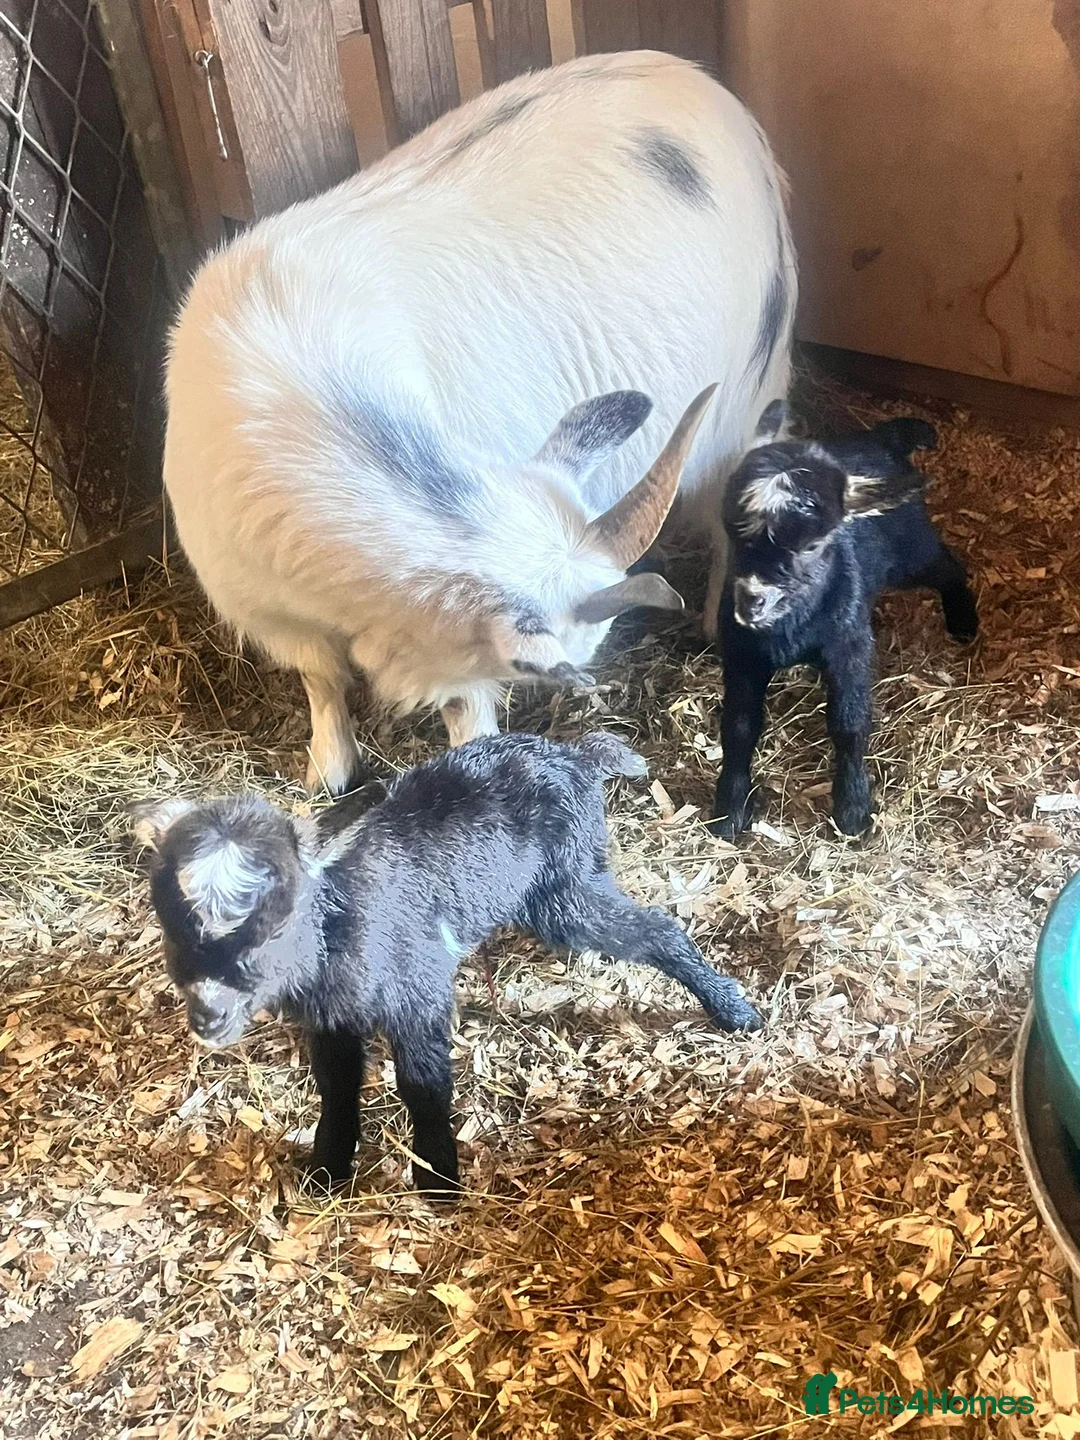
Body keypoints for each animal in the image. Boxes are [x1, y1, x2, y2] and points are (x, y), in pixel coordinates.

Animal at [131, 733, 762, 1196]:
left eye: (275, 922)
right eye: (171, 923)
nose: (207, 1017)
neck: (341, 926)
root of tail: (579, 755)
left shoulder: (419, 989)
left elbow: (421, 1082)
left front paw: (438, 1181)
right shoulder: (332, 1018)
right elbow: (336, 1087)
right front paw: (327, 1173)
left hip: (564, 887)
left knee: (655, 929)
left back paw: (734, 1008)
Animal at [163, 51, 795, 792]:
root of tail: (700, 79)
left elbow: (461, 703)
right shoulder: (272, 611)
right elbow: (321, 681)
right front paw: (327, 768)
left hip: (755, 387)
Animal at [707, 408, 978, 840]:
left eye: (814, 545)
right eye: (734, 536)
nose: (752, 599)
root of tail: (878, 439)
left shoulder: (848, 649)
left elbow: (849, 724)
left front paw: (853, 809)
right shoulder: (741, 656)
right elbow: (739, 725)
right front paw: (729, 810)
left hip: (910, 549)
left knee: (949, 567)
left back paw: (964, 621)